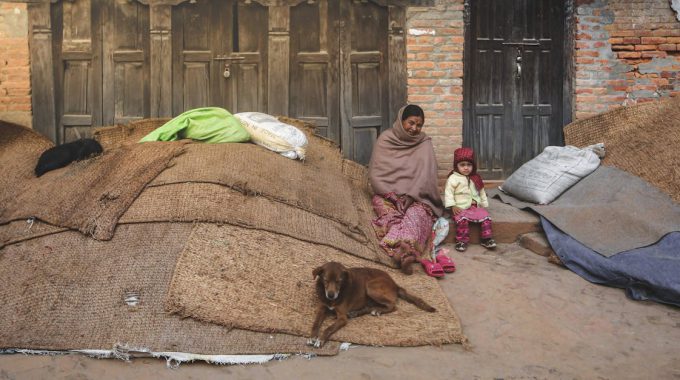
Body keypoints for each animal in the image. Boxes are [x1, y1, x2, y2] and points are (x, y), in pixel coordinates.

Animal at [306, 262, 436, 348]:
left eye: (339, 281)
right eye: (325, 280)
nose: (331, 295)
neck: (332, 301)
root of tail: (395, 284)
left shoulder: (342, 318)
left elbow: (329, 328)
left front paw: (320, 340)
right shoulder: (322, 309)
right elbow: (315, 324)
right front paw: (312, 337)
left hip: (371, 287)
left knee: (393, 305)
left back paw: (377, 311)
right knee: (371, 306)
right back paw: (357, 312)